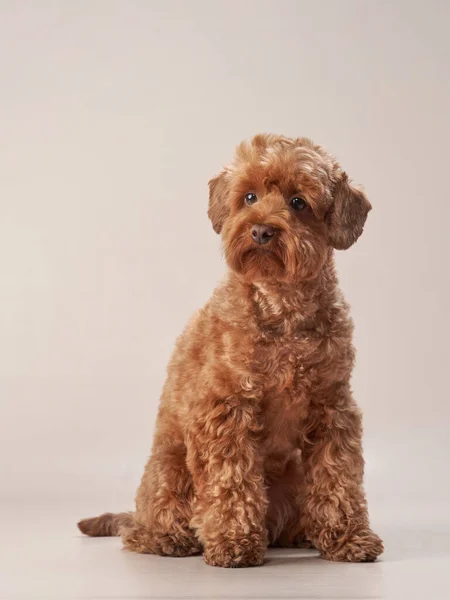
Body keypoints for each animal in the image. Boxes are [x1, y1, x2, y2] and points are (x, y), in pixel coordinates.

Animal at [77, 135, 384, 568]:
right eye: (249, 196)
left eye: (298, 202)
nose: (260, 231)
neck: (282, 306)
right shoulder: (225, 408)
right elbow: (231, 481)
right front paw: (233, 542)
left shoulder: (332, 408)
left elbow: (338, 478)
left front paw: (348, 537)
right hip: (170, 469)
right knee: (144, 529)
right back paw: (170, 538)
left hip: (291, 474)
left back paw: (299, 534)